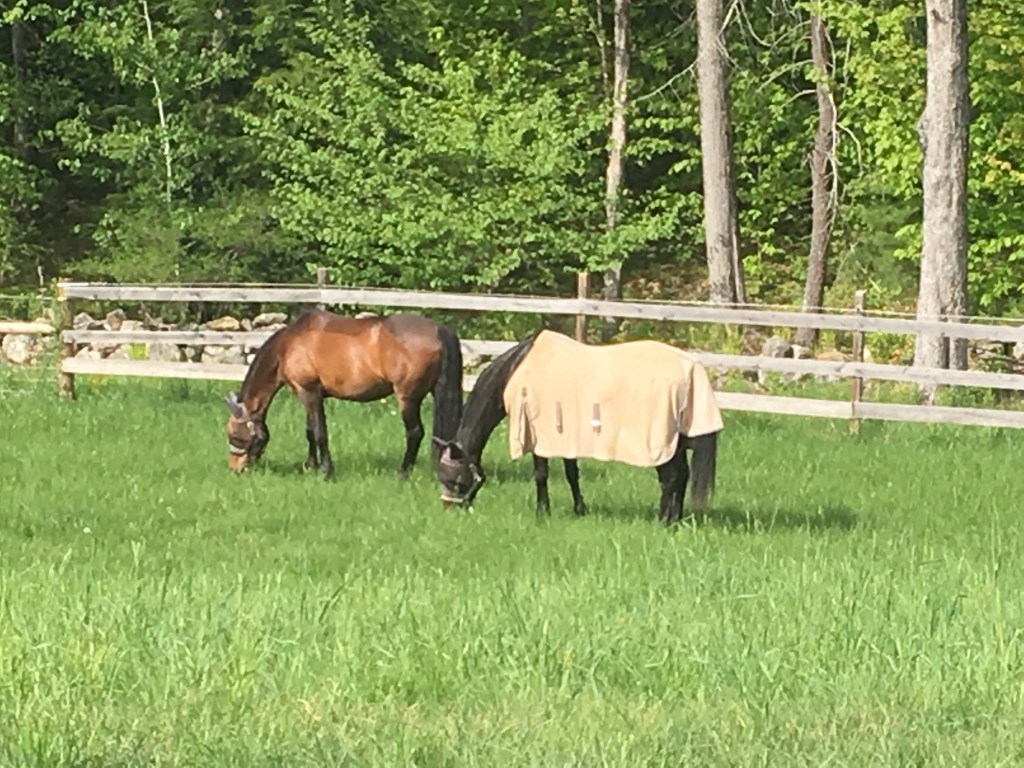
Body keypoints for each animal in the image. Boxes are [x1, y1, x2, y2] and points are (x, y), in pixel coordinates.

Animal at [223, 309, 462, 479]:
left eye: (235, 434)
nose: (234, 468)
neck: (290, 344)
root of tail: (438, 329)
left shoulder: (308, 392)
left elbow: (320, 432)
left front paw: (326, 471)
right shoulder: (310, 395)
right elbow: (310, 431)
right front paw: (310, 465)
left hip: (407, 398)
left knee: (414, 433)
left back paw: (402, 473)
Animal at [432, 330, 723, 526]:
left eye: (452, 477)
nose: (448, 509)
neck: (517, 370)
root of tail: (692, 369)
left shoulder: (539, 436)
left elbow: (541, 475)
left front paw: (542, 511)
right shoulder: (565, 437)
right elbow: (572, 474)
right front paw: (579, 508)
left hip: (661, 443)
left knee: (671, 478)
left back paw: (663, 521)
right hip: (677, 443)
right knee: (682, 476)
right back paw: (675, 520)